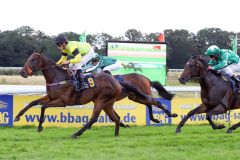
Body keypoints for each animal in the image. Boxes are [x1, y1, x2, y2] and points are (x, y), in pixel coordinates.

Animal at [14, 52, 149, 138]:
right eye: (29, 58)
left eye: (33, 60)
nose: (22, 72)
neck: (59, 78)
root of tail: (116, 82)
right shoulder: (50, 97)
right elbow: (33, 102)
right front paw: (17, 116)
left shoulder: (62, 102)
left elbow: (43, 106)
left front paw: (40, 127)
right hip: (107, 103)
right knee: (115, 118)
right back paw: (116, 135)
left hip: (101, 101)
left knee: (94, 118)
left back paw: (76, 134)